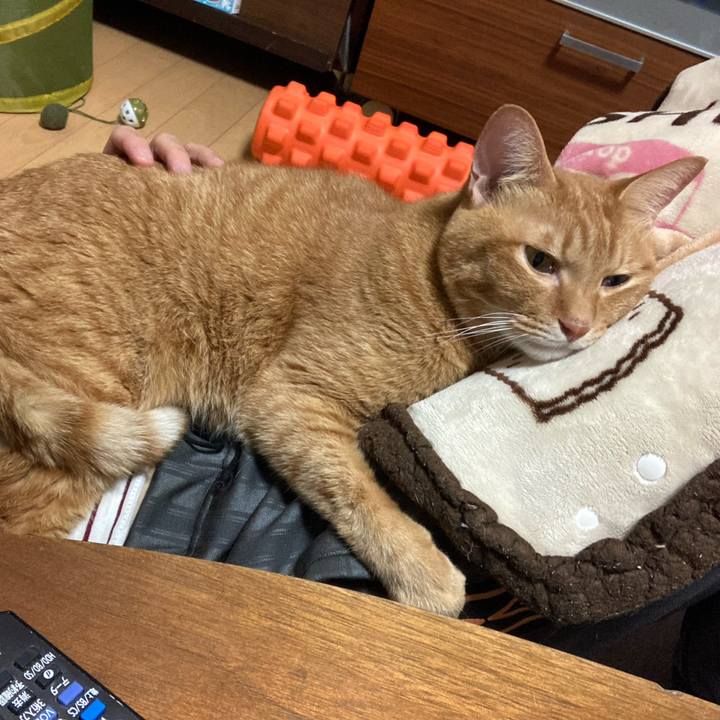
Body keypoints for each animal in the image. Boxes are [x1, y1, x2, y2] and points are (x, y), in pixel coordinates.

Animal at [0, 105, 706, 616]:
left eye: (616, 281)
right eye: (539, 262)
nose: (578, 328)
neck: (439, 295)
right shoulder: (293, 397)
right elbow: (360, 494)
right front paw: (427, 577)